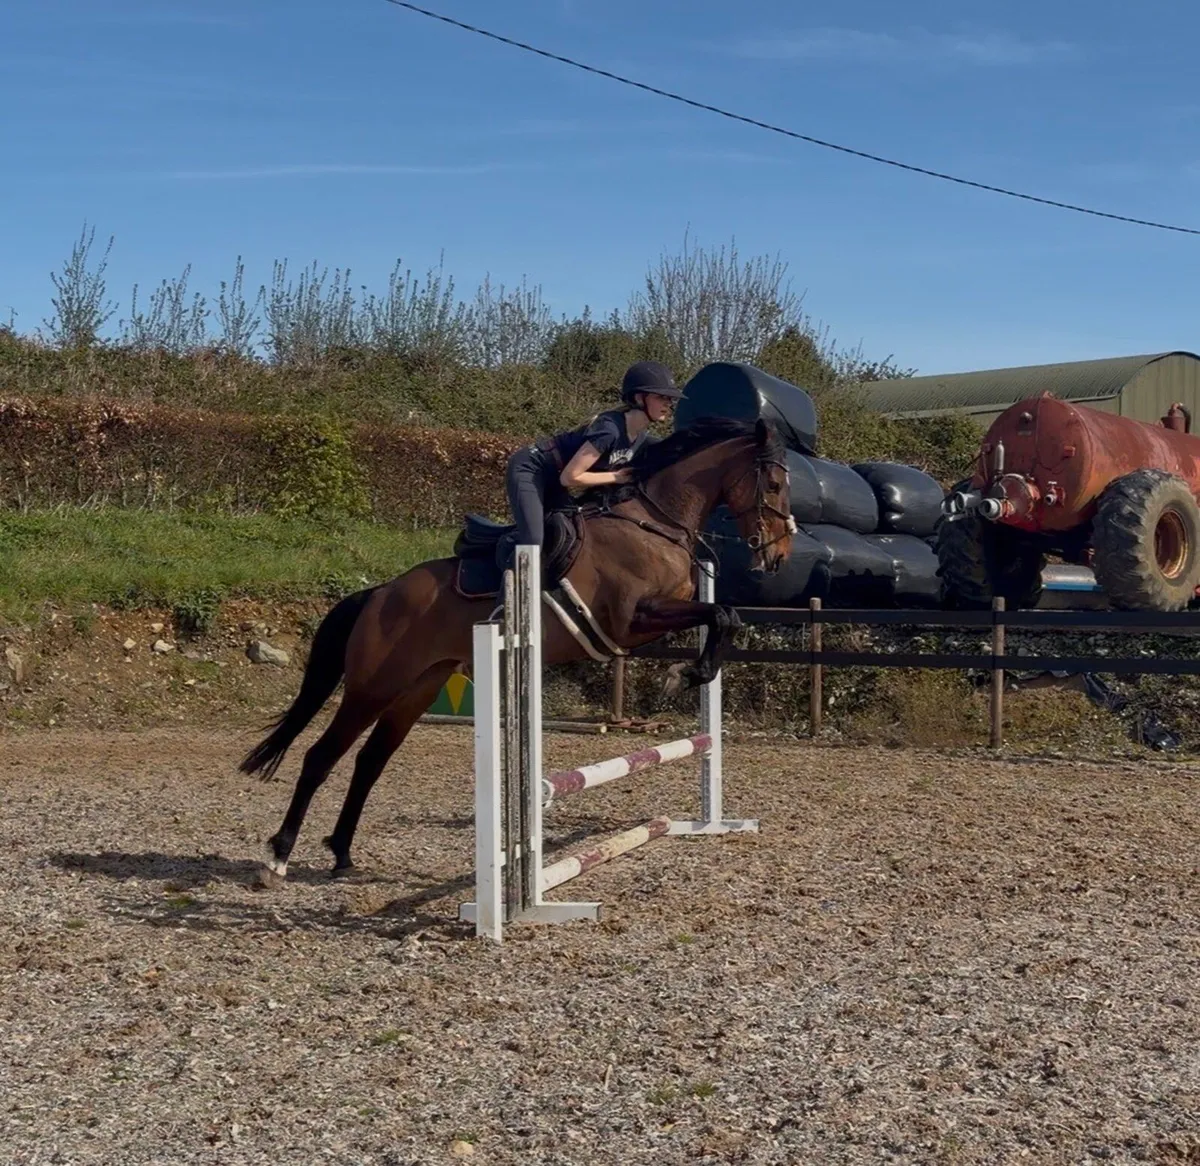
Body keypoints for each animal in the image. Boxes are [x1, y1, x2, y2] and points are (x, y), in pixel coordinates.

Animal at [241, 415, 794, 885]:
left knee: (370, 760)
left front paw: (687, 674)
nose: (779, 556)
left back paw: (342, 854)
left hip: (418, 688)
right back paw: (278, 857)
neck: (652, 523)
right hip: (373, 686)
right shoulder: (632, 618)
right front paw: (682, 675)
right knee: (321, 757)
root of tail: (378, 592)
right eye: (773, 484)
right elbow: (721, 615)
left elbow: (725, 616)